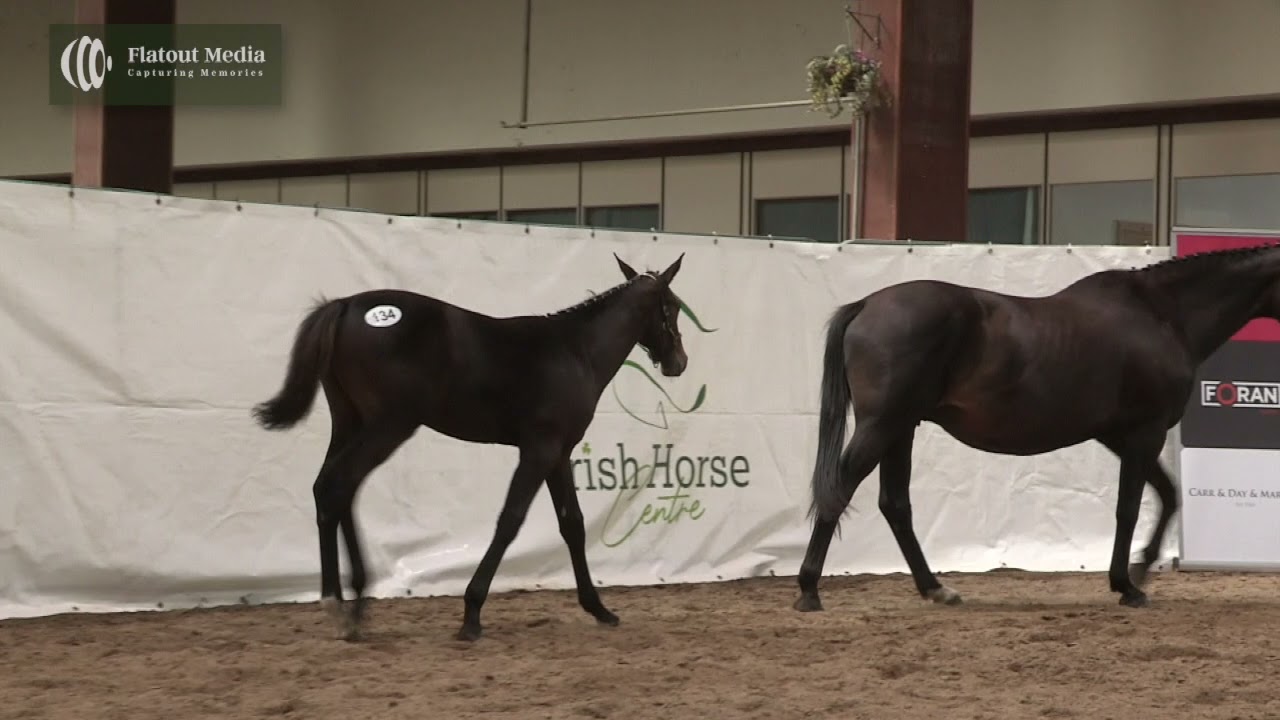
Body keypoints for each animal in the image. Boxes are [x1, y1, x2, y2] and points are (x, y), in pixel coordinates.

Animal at [252, 253, 688, 642]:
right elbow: (510, 520)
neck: (575, 351)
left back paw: (350, 605)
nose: (678, 362)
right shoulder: (539, 449)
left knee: (331, 490)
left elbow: (573, 525)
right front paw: (472, 614)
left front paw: (598, 608)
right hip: (388, 426)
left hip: (349, 423)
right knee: (338, 486)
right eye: (672, 307)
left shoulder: (559, 453)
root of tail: (345, 306)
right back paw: (344, 608)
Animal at [795, 243, 1280, 613]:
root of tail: (866, 305)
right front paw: (1127, 584)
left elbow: (1167, 494)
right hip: (883, 425)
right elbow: (1130, 507)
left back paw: (935, 588)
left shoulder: (1120, 435)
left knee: (895, 504)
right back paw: (808, 590)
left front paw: (1139, 570)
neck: (1162, 314)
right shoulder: (1146, 431)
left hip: (901, 428)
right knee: (841, 489)